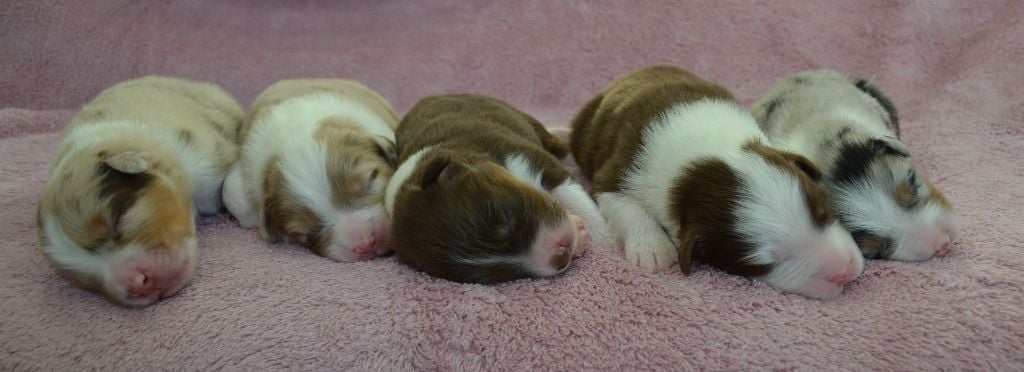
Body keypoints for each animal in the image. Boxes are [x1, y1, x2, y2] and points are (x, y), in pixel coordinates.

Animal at [385, 94, 606, 284]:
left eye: (504, 215)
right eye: (495, 274)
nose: (562, 253)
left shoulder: (524, 157)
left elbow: (575, 195)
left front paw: (603, 237)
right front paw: (579, 233)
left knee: (558, 144)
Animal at [573, 66, 860, 299]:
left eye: (822, 210)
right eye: (765, 265)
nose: (844, 272)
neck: (698, 163)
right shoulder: (613, 175)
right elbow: (622, 202)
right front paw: (652, 247)